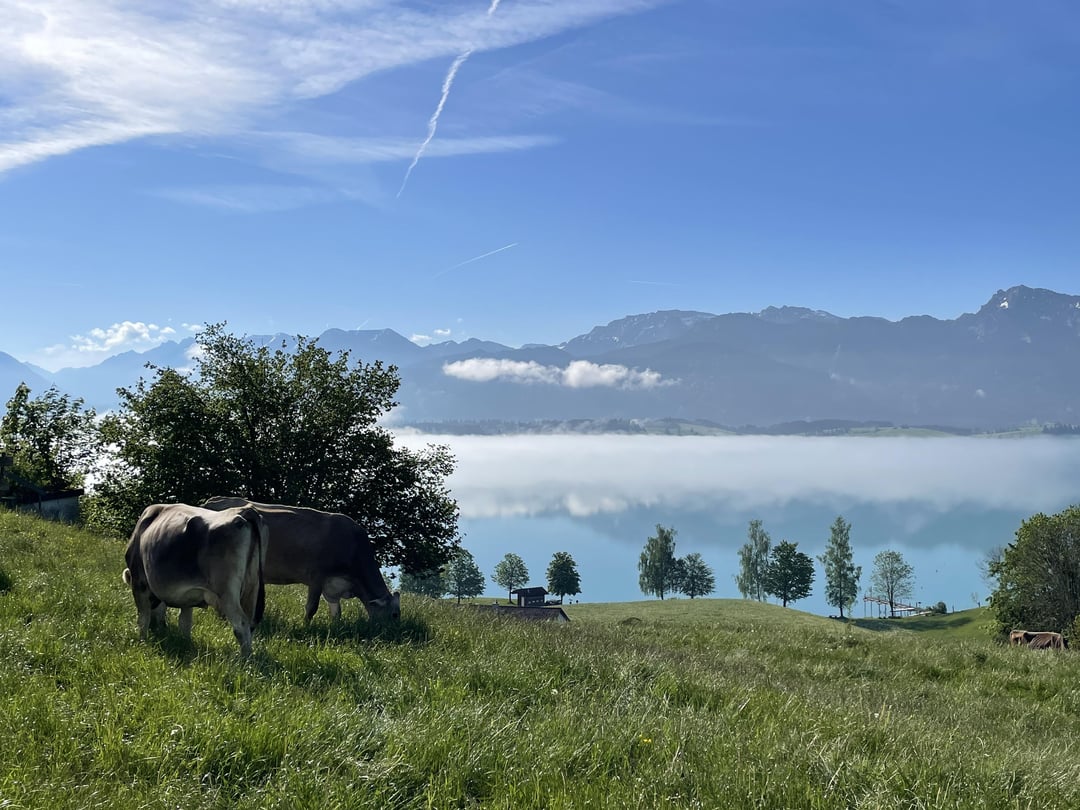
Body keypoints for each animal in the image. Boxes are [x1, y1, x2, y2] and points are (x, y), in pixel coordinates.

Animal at [120, 505, 265, 656]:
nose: (156, 629)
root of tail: (244, 511)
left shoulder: (139, 582)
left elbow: (143, 617)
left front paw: (142, 642)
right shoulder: (187, 596)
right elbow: (185, 623)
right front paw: (185, 644)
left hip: (227, 594)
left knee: (241, 625)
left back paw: (244, 658)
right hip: (252, 588)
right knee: (250, 625)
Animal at [200, 498, 399, 626]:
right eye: (394, 615)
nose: (394, 632)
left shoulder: (333, 587)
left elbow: (336, 612)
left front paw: (335, 628)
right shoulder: (317, 576)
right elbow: (312, 607)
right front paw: (305, 627)